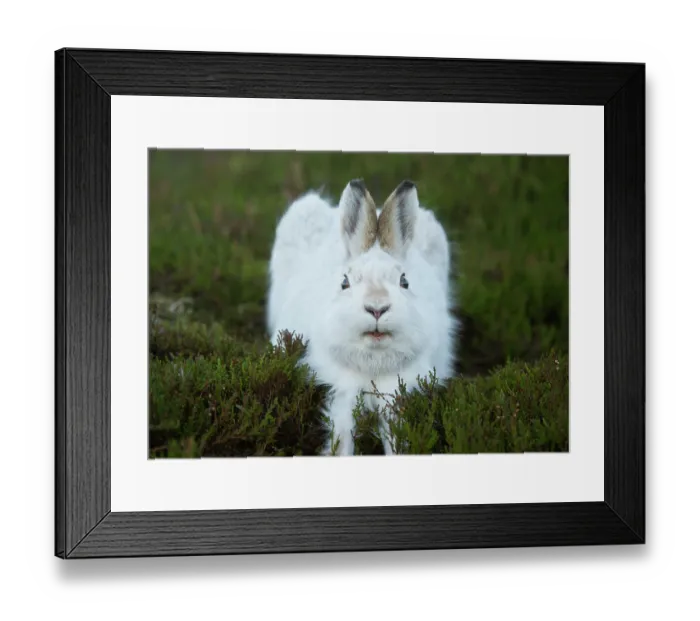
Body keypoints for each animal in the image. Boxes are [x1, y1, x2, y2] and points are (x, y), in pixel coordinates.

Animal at [267, 179, 459, 457]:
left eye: (404, 281)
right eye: (345, 282)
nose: (377, 308)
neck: (373, 365)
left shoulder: (394, 393)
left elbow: (395, 436)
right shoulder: (343, 390)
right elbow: (341, 434)